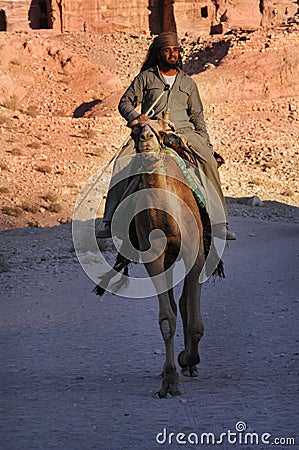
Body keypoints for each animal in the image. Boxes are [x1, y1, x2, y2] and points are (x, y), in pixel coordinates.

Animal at [95, 120, 224, 398]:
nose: (146, 139)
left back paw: (190, 363)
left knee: (186, 302)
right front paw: (169, 380)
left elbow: (195, 320)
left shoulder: (196, 256)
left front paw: (189, 359)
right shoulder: (154, 261)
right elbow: (167, 319)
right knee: (178, 304)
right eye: (135, 131)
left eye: (161, 131)